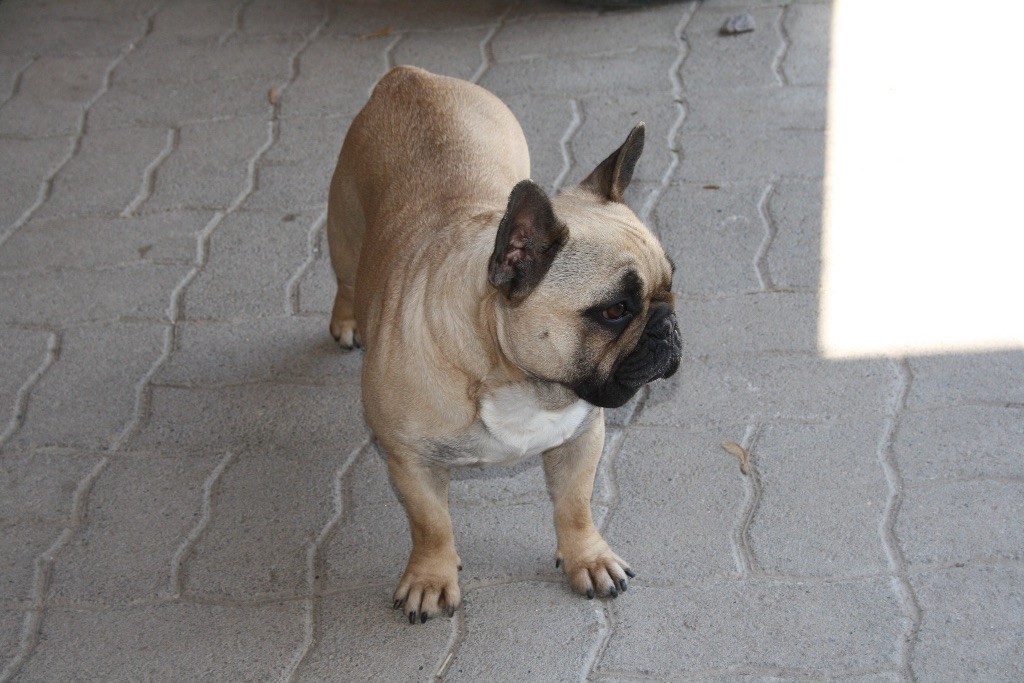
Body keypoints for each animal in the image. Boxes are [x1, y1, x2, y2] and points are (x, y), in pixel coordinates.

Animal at [327, 65, 679, 626]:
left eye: (672, 283)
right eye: (615, 311)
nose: (666, 325)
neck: (518, 379)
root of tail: (408, 76)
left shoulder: (582, 437)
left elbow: (575, 506)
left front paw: (587, 558)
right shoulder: (409, 461)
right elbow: (431, 525)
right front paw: (431, 577)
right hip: (343, 226)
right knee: (344, 277)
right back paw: (346, 321)